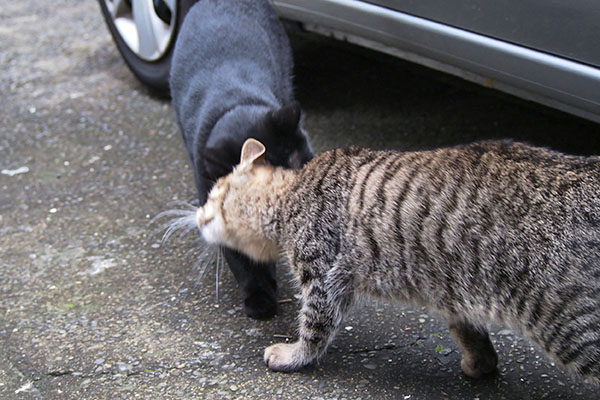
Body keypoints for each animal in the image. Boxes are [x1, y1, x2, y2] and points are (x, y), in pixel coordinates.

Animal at [192, 138, 600, 382]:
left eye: (213, 199)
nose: (197, 216)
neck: (292, 194)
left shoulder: (323, 278)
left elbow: (313, 329)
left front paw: (293, 356)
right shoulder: (454, 294)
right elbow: (467, 330)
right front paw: (480, 363)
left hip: (571, 323)